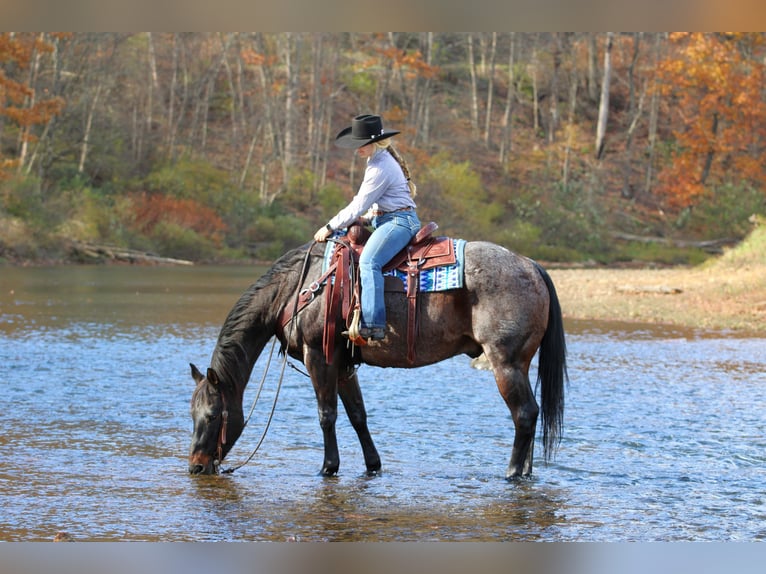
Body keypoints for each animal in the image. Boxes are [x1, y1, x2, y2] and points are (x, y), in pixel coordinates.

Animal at [188, 237, 567, 480]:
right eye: (192, 414)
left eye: (213, 414)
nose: (196, 466)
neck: (298, 288)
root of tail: (529, 264)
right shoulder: (343, 364)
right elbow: (358, 415)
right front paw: (372, 465)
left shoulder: (319, 357)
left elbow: (326, 414)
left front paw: (328, 467)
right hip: (520, 364)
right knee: (530, 414)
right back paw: (526, 471)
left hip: (505, 363)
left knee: (524, 414)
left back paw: (513, 473)